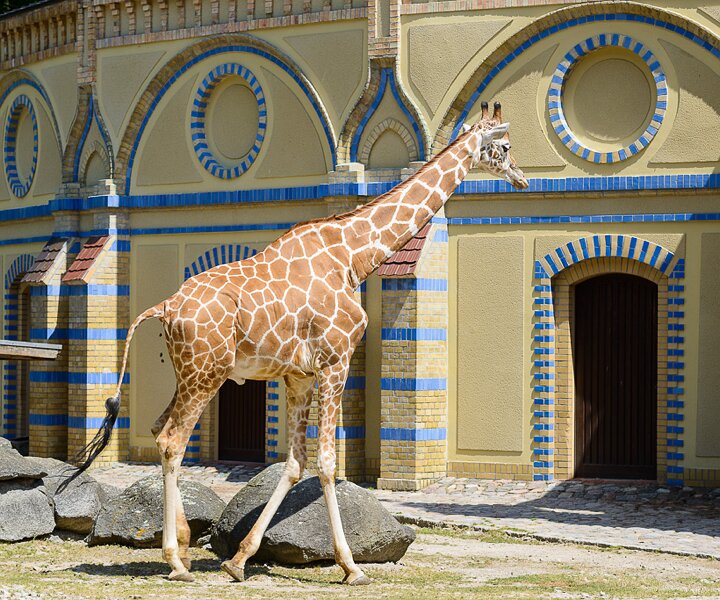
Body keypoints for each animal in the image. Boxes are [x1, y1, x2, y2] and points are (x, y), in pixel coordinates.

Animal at [73, 101, 528, 585]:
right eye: (503, 146)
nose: (521, 178)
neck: (355, 255)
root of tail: (164, 308)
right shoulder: (335, 361)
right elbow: (327, 463)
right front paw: (351, 566)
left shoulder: (298, 376)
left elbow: (295, 463)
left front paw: (239, 560)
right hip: (206, 375)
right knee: (172, 442)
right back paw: (176, 561)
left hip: (189, 373)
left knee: (160, 428)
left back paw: (183, 544)